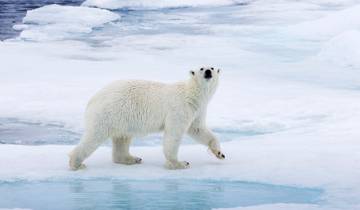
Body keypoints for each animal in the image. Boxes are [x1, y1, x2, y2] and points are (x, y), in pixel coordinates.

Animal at [68, 66, 224, 170]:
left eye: (212, 67)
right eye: (201, 68)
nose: (208, 72)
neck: (191, 94)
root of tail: (93, 99)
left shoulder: (197, 110)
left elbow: (198, 129)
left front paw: (219, 153)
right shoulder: (179, 108)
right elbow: (173, 135)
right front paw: (179, 163)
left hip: (122, 118)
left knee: (122, 139)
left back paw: (131, 158)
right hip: (108, 113)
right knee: (94, 137)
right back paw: (76, 163)